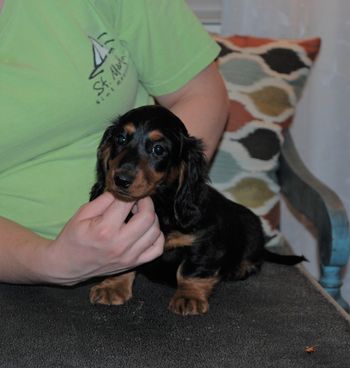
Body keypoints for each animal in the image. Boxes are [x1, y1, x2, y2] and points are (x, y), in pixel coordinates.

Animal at [89, 104, 304, 316]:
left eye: (158, 149)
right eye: (121, 139)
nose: (121, 180)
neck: (160, 205)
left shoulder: (205, 241)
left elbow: (191, 270)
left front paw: (189, 297)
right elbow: (124, 264)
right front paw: (113, 286)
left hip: (251, 230)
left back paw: (240, 269)